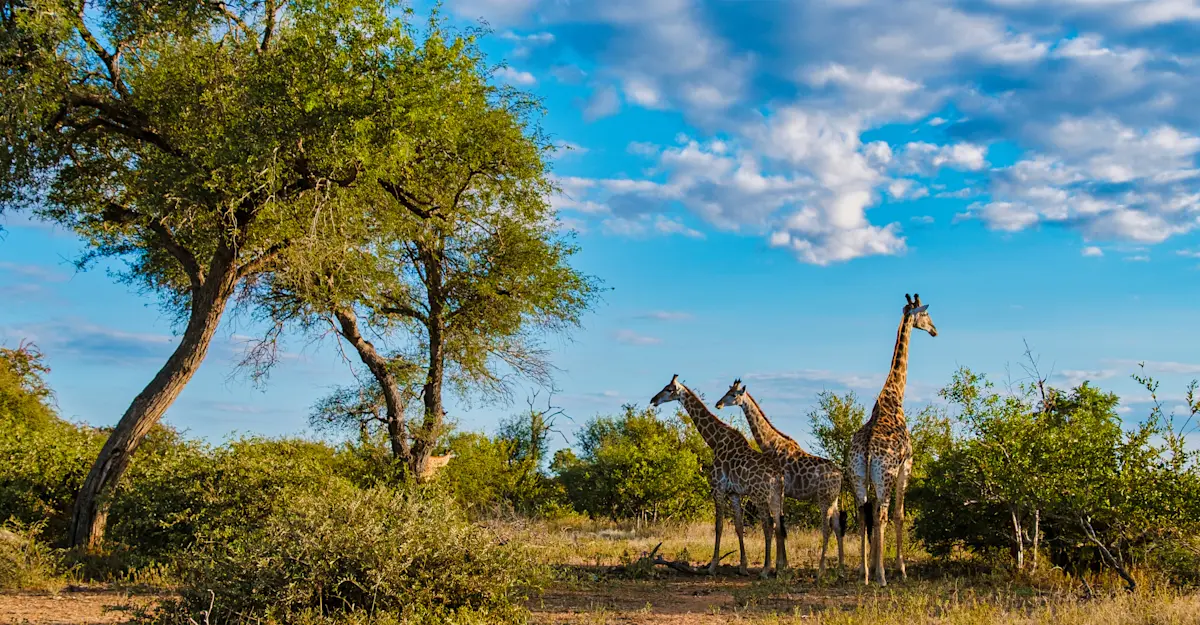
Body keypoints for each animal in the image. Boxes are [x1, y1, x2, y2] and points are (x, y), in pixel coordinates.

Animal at [651, 374, 788, 577]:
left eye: (669, 389)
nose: (653, 400)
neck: (714, 441)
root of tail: (778, 477)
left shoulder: (717, 488)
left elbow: (719, 526)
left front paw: (712, 566)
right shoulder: (734, 493)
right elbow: (738, 526)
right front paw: (743, 567)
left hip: (760, 496)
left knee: (768, 526)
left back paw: (765, 570)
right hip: (777, 497)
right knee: (778, 525)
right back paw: (779, 568)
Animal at [715, 379, 847, 578]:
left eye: (733, 394)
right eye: (726, 391)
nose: (718, 404)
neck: (770, 444)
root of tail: (840, 475)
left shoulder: (779, 490)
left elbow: (779, 526)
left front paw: (779, 567)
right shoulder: (782, 493)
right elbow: (781, 526)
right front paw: (783, 565)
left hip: (824, 498)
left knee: (826, 528)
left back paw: (821, 570)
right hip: (834, 499)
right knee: (838, 527)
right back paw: (840, 569)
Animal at [849, 293, 937, 586]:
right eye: (926, 315)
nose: (934, 330)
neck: (894, 395)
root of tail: (866, 451)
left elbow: (872, 517)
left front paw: (872, 566)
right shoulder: (906, 465)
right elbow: (900, 515)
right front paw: (900, 568)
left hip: (858, 476)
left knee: (863, 513)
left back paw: (864, 573)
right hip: (884, 475)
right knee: (883, 514)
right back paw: (882, 576)